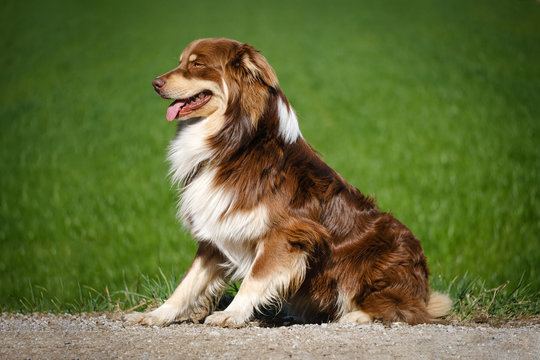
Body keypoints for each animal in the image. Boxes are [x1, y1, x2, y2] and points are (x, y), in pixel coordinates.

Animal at [125, 38, 452, 328]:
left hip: (368, 260)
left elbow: (255, 278)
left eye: (197, 65)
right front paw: (155, 315)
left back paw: (355, 316)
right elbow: (186, 286)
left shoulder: (287, 234)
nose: (154, 83)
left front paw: (231, 314)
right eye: (181, 62)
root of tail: (422, 287)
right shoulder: (216, 234)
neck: (237, 147)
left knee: (402, 310)